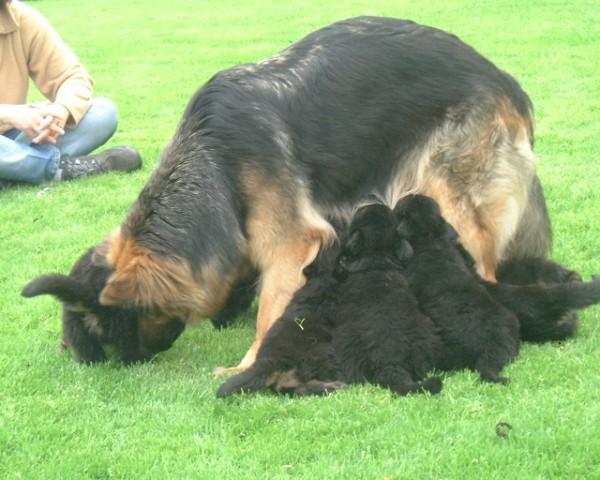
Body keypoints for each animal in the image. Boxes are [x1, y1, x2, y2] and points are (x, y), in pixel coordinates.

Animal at [21, 247, 185, 364]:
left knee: (86, 350)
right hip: (125, 324)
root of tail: (91, 293)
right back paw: (143, 360)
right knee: (128, 352)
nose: (167, 346)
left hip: (73, 320)